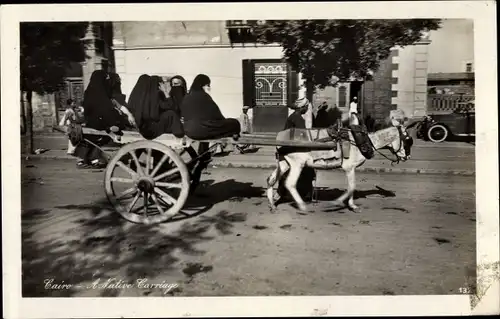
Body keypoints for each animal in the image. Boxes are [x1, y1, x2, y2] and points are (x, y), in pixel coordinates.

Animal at [264, 117, 412, 212]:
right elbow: (352, 187)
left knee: (271, 179)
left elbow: (351, 187)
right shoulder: (349, 168)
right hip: (297, 164)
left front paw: (349, 204)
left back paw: (272, 204)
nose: (407, 157)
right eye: (408, 140)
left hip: (284, 162)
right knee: (290, 183)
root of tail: (280, 137)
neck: (362, 140)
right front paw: (345, 204)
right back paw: (301, 205)